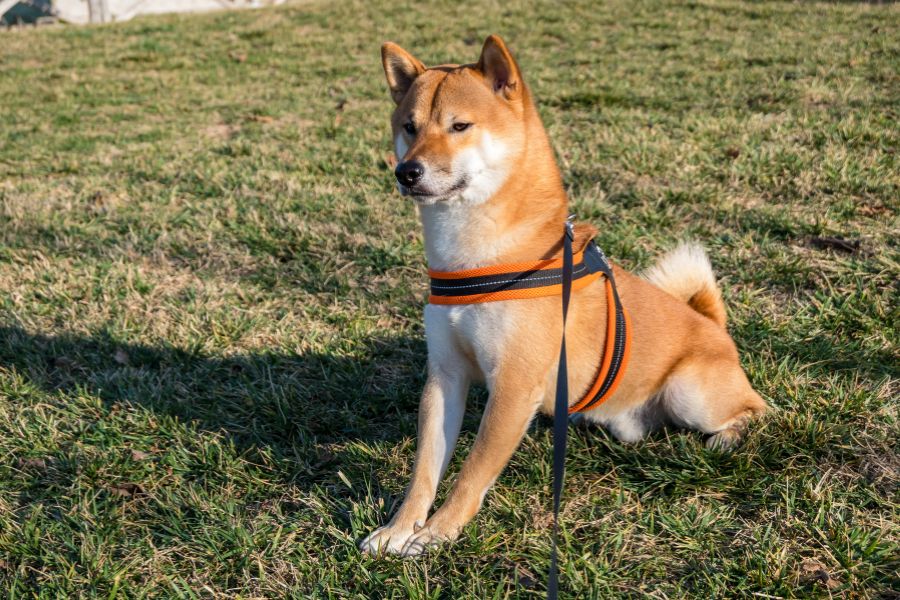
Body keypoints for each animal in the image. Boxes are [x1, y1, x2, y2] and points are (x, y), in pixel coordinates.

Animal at [358, 35, 768, 556]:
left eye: (459, 126)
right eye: (409, 127)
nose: (406, 171)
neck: (476, 256)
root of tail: (713, 325)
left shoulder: (514, 386)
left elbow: (471, 472)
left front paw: (437, 533)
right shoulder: (445, 376)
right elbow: (425, 469)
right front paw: (400, 528)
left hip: (689, 393)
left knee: (756, 409)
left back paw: (727, 438)